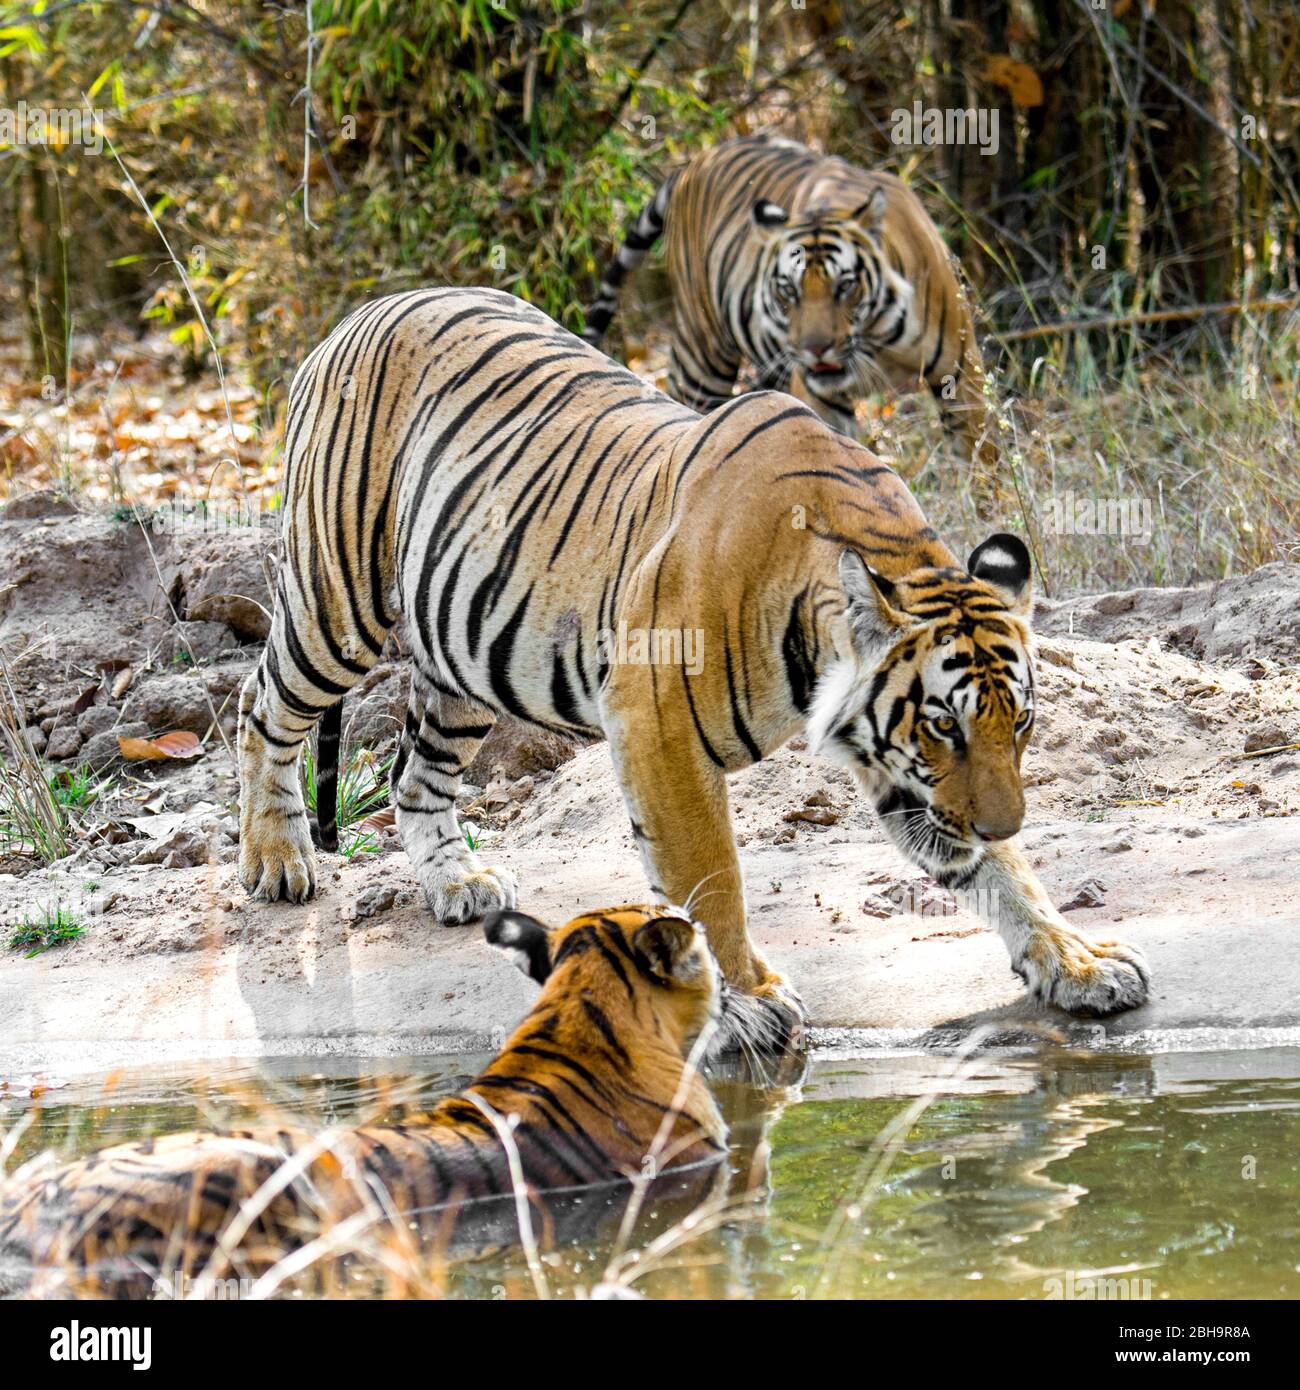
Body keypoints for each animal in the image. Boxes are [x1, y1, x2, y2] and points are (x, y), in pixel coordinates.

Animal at [235, 285, 1149, 1056]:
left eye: (1019, 722)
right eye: (942, 725)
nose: (1001, 821)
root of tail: (360, 313)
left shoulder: (903, 773)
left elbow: (1005, 879)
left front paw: (1076, 961)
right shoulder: (659, 727)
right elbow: (713, 878)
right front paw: (748, 1000)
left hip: (465, 655)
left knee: (415, 772)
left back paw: (460, 882)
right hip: (335, 603)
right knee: (260, 702)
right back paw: (276, 862)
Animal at [582, 133, 1000, 504]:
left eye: (845, 286)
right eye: (788, 289)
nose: (815, 349)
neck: (875, 337)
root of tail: (696, 161)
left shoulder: (960, 373)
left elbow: (980, 459)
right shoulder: (821, 396)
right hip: (702, 356)